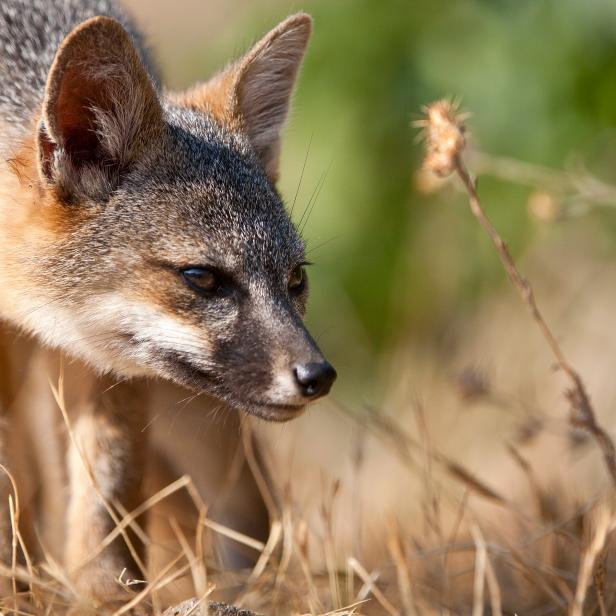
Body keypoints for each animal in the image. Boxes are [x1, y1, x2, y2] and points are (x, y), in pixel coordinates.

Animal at [0, 0, 336, 612]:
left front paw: (109, 596)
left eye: (296, 278)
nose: (317, 375)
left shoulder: (107, 371)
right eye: (201, 277)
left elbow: (108, 491)